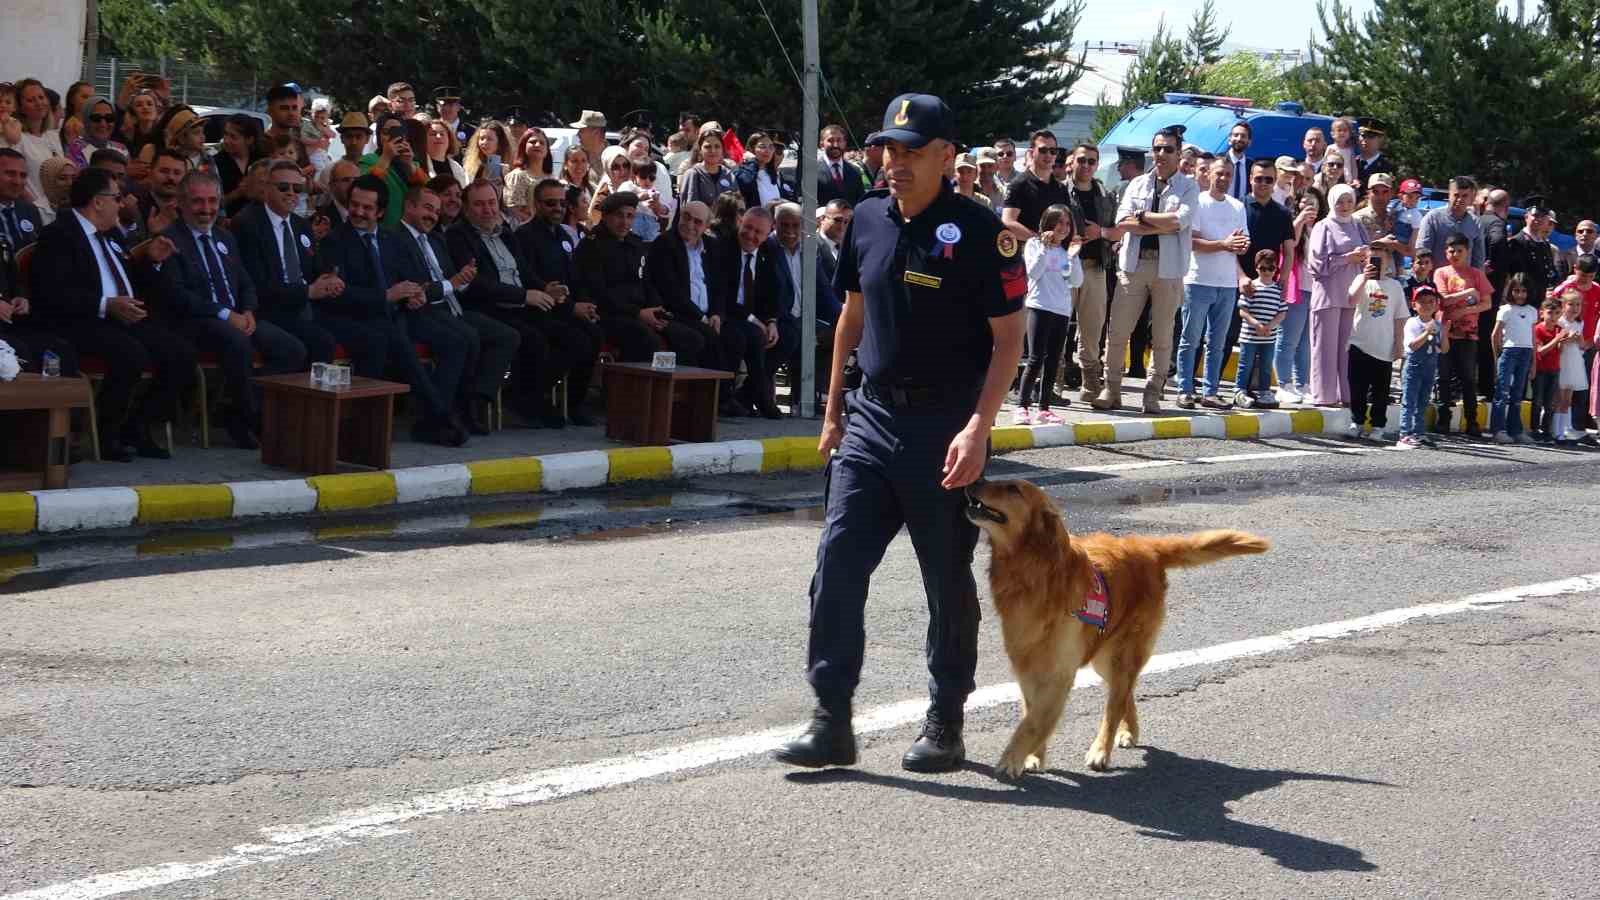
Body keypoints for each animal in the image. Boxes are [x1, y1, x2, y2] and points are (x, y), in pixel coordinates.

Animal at [966, 477, 1267, 778]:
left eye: (1013, 489)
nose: (976, 481)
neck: (1030, 570)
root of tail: (1147, 548)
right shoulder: (1027, 663)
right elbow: (1033, 716)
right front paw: (1033, 757)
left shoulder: (1058, 673)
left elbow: (1032, 723)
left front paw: (1012, 758)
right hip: (1104, 656)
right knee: (1125, 692)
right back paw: (1128, 731)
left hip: (1123, 650)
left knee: (1115, 704)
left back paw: (1101, 750)